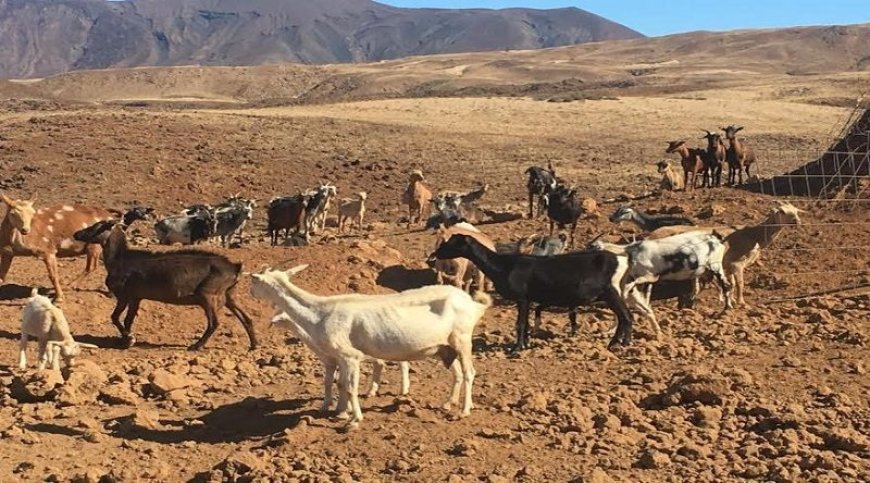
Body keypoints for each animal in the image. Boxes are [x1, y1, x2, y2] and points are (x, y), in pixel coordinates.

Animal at [73, 221, 258, 350]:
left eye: (97, 226)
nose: (77, 233)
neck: (119, 259)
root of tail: (235, 268)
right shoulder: (136, 297)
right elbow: (128, 320)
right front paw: (125, 341)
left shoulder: (124, 296)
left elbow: (115, 317)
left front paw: (129, 339)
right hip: (228, 294)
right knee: (246, 318)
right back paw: (254, 345)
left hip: (208, 295)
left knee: (214, 323)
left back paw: (196, 346)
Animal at [250, 264, 490, 428]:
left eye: (255, 282)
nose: (250, 293)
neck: (320, 312)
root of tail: (472, 303)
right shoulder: (338, 358)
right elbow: (340, 384)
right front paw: (340, 411)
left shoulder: (350, 355)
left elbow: (350, 387)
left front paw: (354, 418)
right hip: (445, 347)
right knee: (457, 373)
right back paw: (448, 403)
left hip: (462, 338)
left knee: (469, 372)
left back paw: (464, 410)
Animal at [430, 234, 632, 352]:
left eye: (452, 243)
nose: (435, 254)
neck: (503, 265)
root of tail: (622, 260)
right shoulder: (527, 300)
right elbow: (525, 323)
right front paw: (525, 344)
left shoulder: (522, 298)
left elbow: (520, 324)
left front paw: (517, 348)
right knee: (624, 316)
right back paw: (619, 342)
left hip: (611, 292)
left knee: (626, 316)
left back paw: (621, 343)